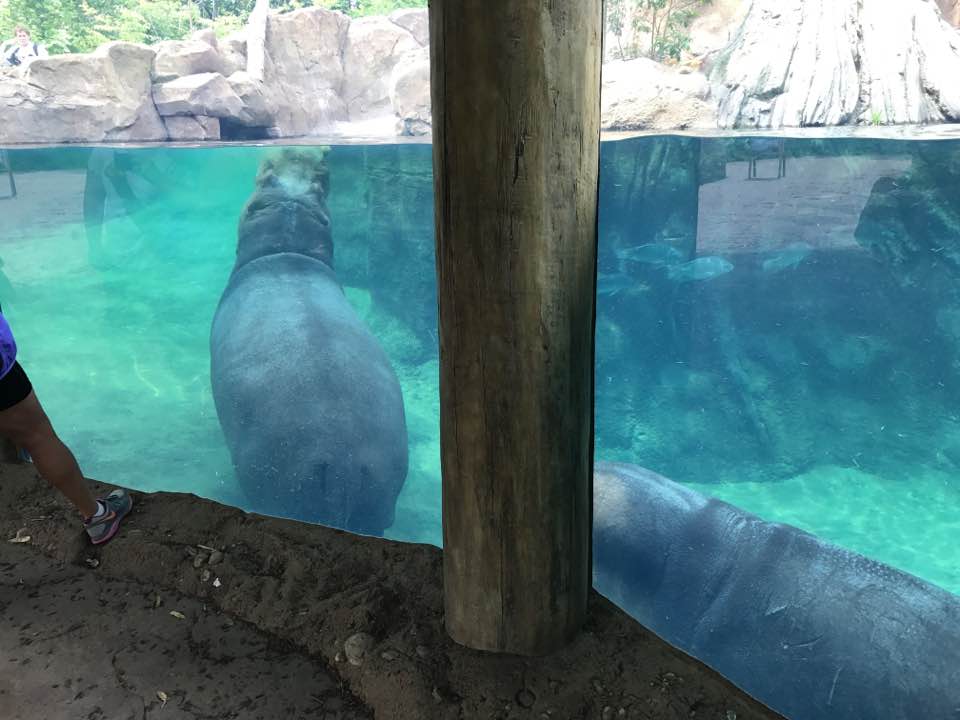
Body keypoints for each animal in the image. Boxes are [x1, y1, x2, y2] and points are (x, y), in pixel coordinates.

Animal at [210, 149, 408, 536]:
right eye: (320, 183)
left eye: (263, 178)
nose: (311, 153)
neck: (288, 250)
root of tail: (345, 460)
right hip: (376, 498)